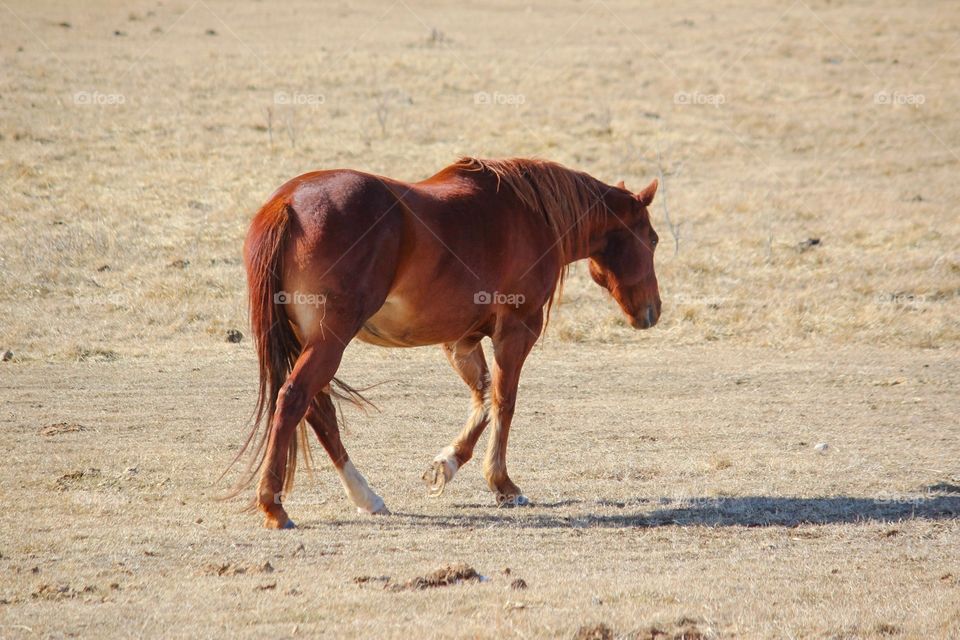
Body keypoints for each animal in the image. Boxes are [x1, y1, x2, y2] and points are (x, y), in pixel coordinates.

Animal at [235, 156, 661, 529]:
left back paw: (365, 497)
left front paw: (447, 464)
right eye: (653, 239)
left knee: (318, 411)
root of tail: (288, 203)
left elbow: (483, 398)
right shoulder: (517, 330)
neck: (531, 214)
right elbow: (504, 401)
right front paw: (503, 485)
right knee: (294, 400)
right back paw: (274, 506)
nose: (653, 311)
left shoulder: (461, 341)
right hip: (329, 343)